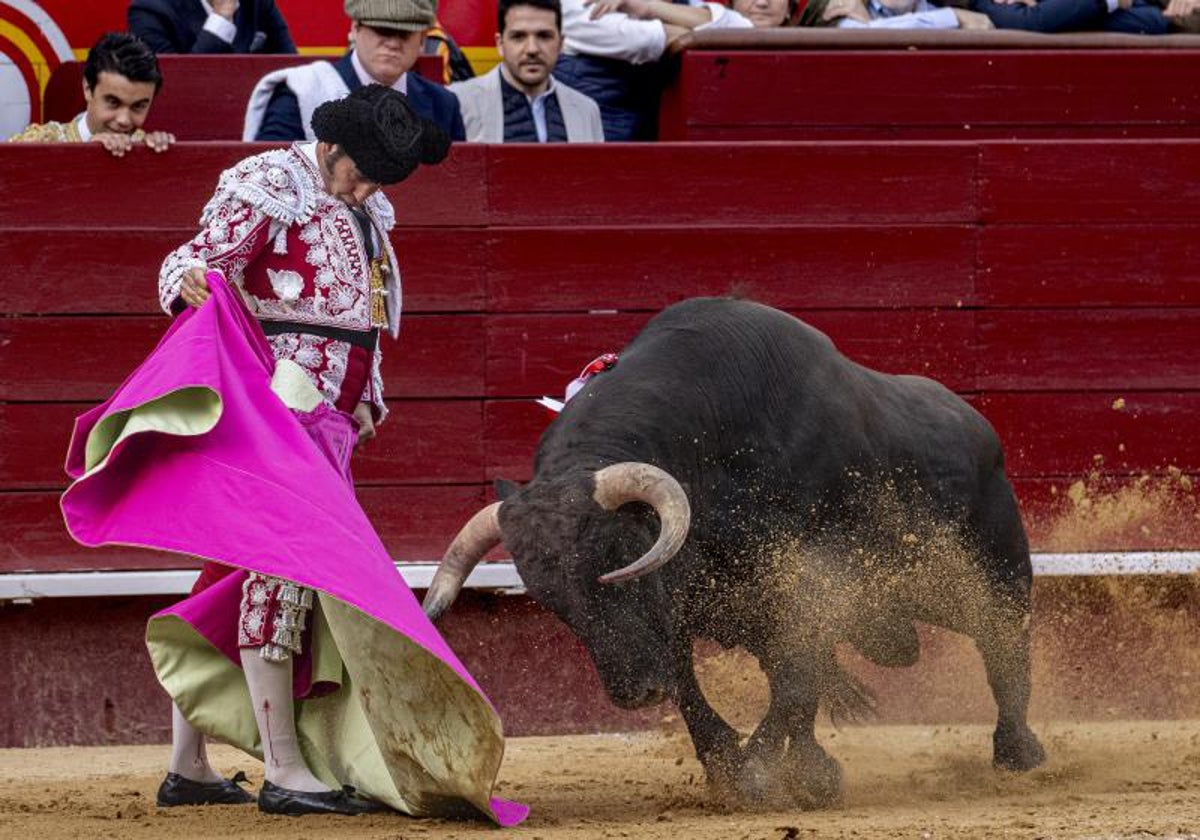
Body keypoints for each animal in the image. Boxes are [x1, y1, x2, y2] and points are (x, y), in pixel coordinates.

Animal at [427, 298, 1046, 801]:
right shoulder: (688, 607)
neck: (711, 449)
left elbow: (796, 675)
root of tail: (978, 427)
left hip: (981, 574)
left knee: (1003, 638)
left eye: (617, 556)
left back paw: (1018, 750)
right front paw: (751, 765)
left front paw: (761, 772)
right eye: (552, 600)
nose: (635, 693)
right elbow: (703, 680)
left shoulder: (806, 583)